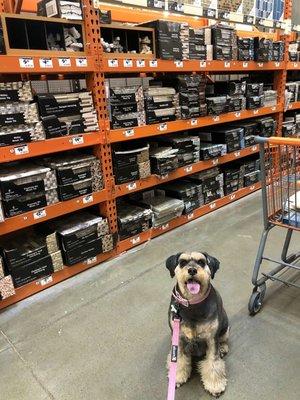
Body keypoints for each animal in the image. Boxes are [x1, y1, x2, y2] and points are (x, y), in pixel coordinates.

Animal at [165, 252, 229, 396]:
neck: (192, 304)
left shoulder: (211, 339)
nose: (192, 270)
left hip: (226, 328)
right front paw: (177, 377)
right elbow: (179, 359)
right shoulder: (178, 338)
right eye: (182, 262)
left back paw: (223, 348)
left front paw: (215, 385)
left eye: (201, 262)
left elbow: (213, 362)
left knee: (223, 341)